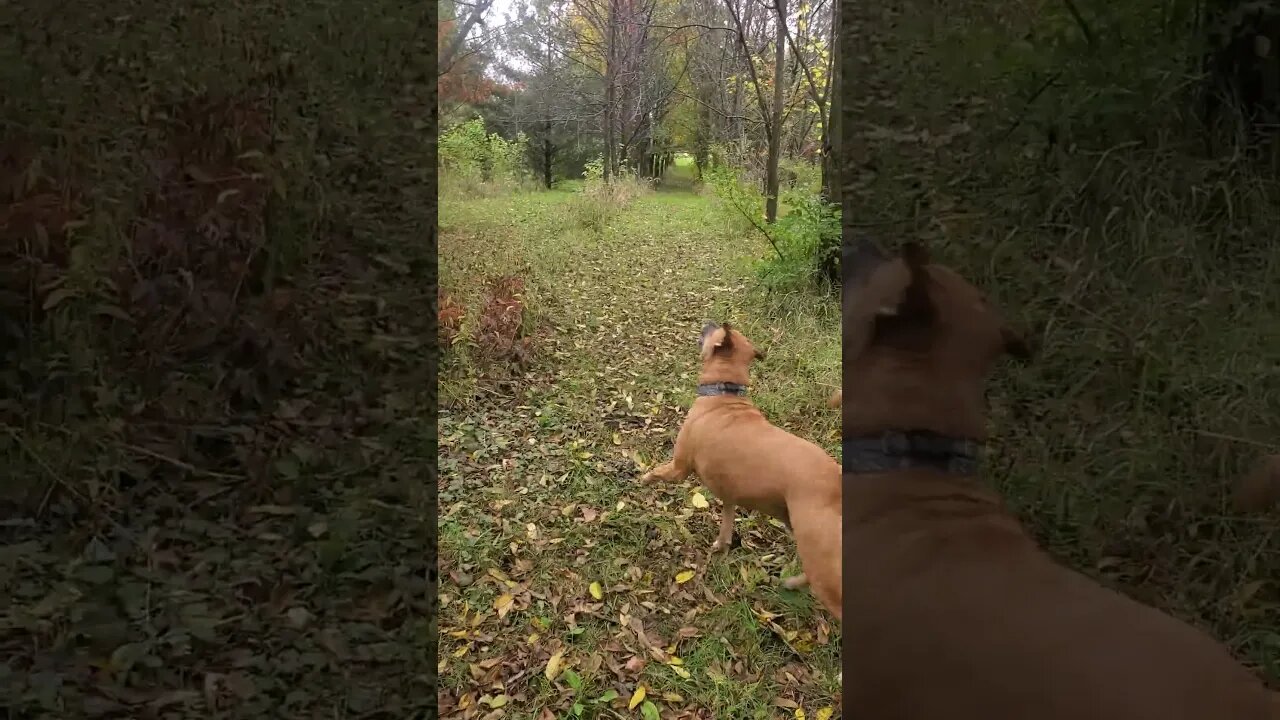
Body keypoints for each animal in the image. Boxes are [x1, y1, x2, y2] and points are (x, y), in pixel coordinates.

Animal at [637, 320, 839, 617]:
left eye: (715, 330)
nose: (710, 321)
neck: (725, 391)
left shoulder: (679, 467)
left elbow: (659, 472)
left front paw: (645, 477)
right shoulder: (730, 493)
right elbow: (727, 521)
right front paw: (722, 544)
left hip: (819, 554)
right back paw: (791, 583)